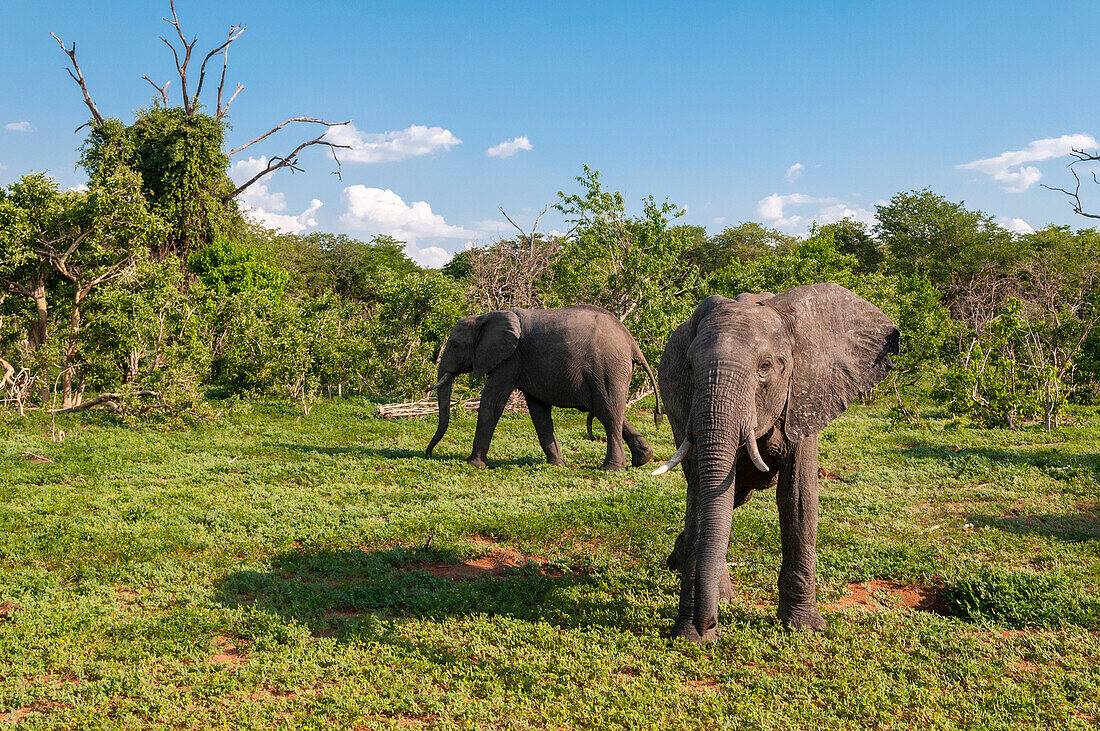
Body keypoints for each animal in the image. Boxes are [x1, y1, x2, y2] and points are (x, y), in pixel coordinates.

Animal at [422, 303, 660, 470]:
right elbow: (538, 411)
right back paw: (644, 458)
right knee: (611, 411)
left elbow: (493, 401)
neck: (484, 317)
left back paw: (610, 469)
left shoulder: (511, 358)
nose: (428, 454)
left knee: (608, 413)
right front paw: (557, 466)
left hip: (607, 368)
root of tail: (632, 343)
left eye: (454, 345)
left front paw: (474, 464)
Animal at [651, 281, 893, 641]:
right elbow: (700, 497)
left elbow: (798, 498)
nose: (708, 623)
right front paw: (692, 635)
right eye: (690, 369)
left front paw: (804, 627)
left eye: (765, 367)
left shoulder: (806, 396)